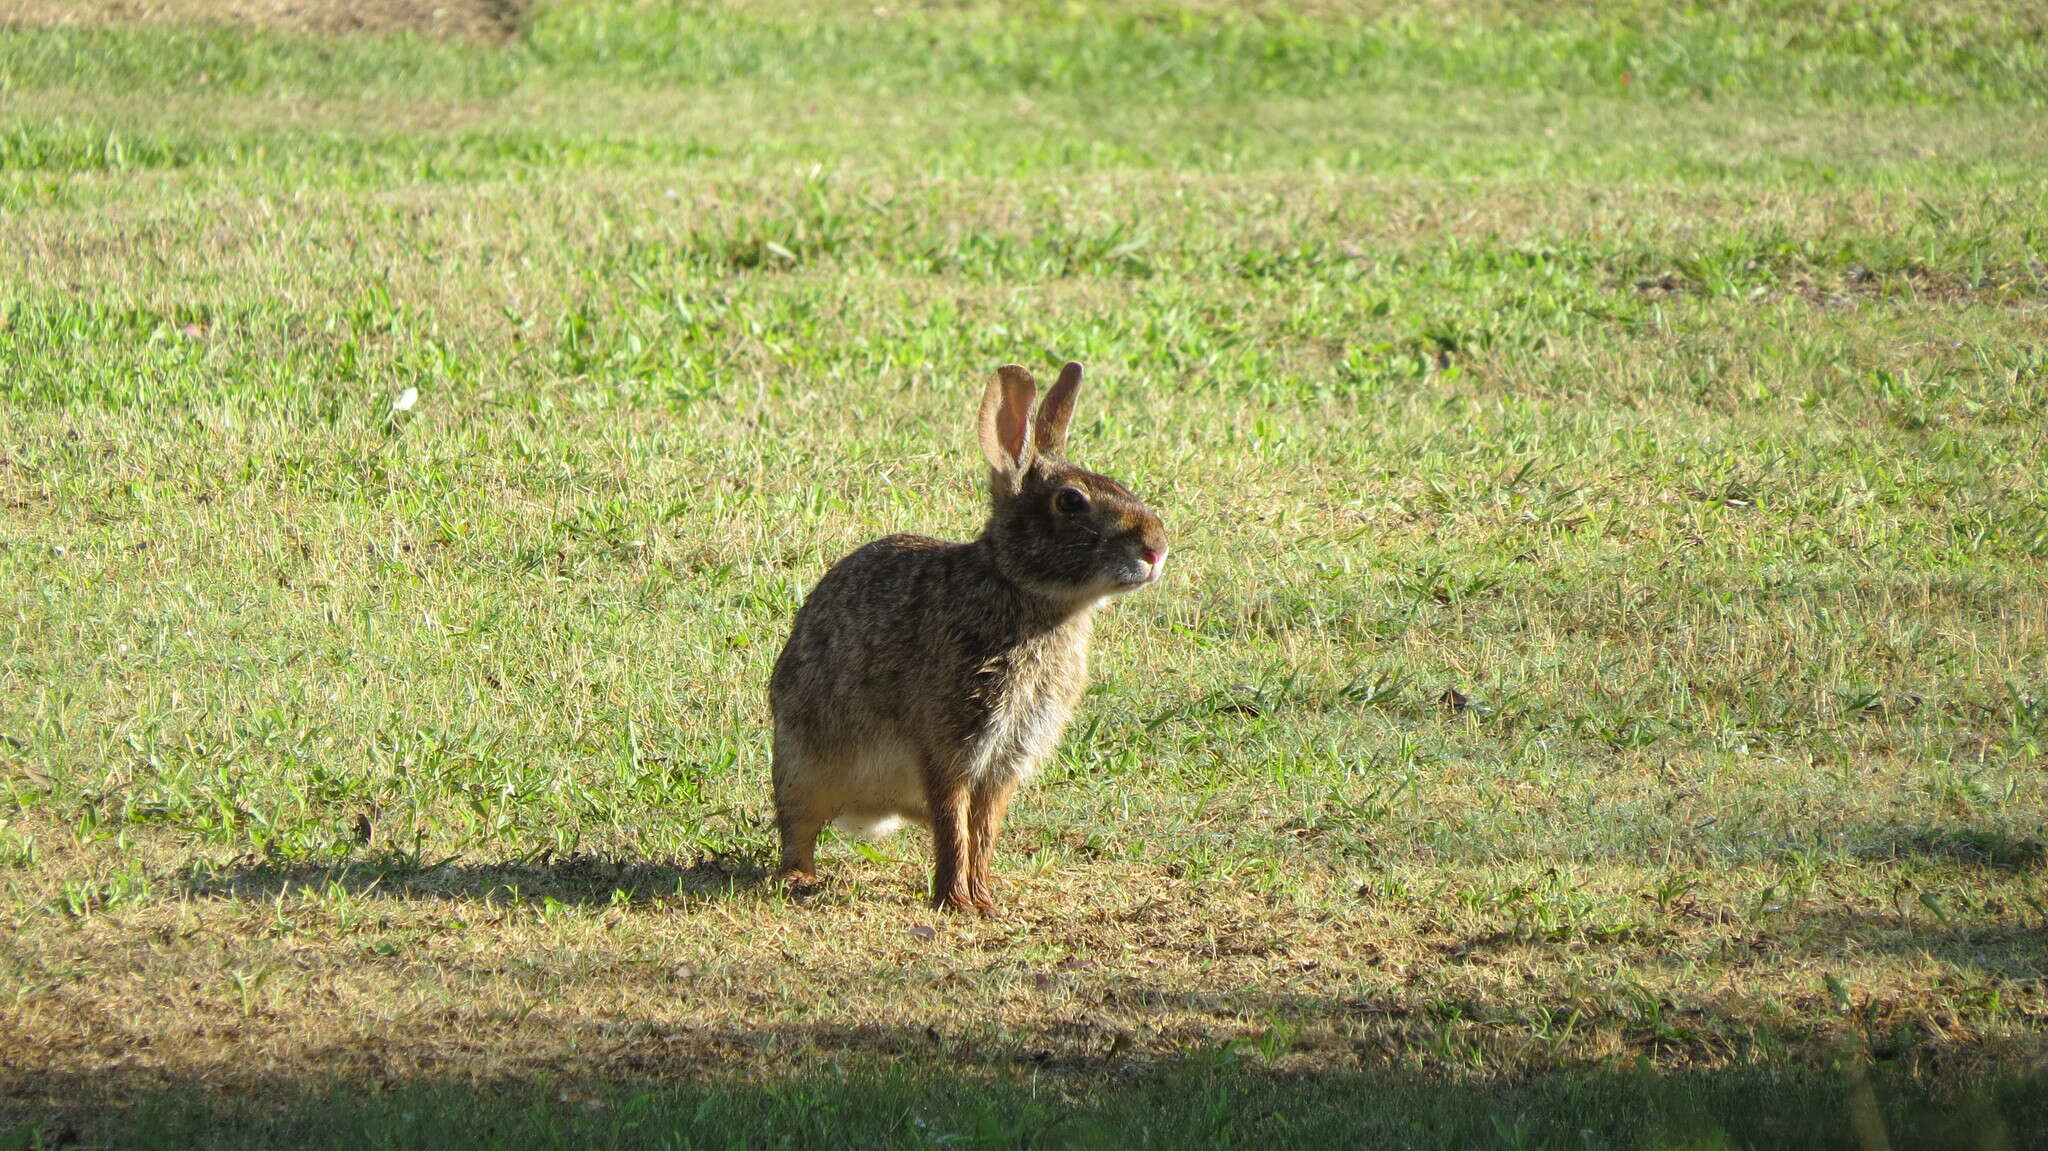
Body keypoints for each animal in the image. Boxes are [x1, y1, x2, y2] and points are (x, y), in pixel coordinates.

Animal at [770, 362, 1171, 909]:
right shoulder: (950, 742)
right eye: (1071, 501)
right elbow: (953, 822)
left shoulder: (1007, 757)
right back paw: (801, 878)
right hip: (803, 764)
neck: (1019, 588)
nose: (1156, 549)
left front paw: (982, 896)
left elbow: (982, 828)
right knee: (798, 829)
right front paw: (955, 902)